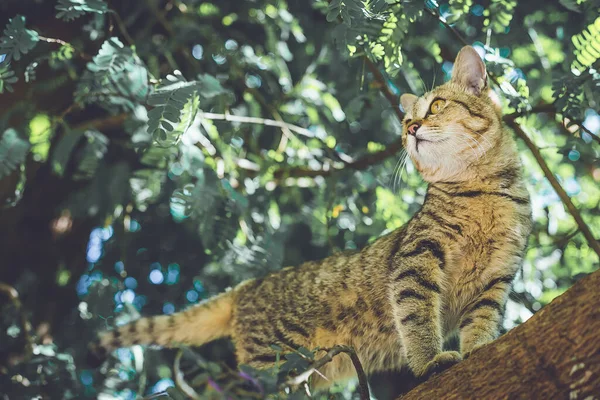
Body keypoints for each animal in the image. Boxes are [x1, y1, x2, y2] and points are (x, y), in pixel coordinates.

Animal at [88, 45, 528, 390]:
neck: (484, 192)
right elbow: (417, 320)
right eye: (405, 121)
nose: (412, 128)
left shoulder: (497, 277)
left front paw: (480, 348)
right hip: (273, 364)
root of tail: (244, 287)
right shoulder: (415, 263)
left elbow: (483, 321)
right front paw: (430, 362)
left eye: (437, 105)